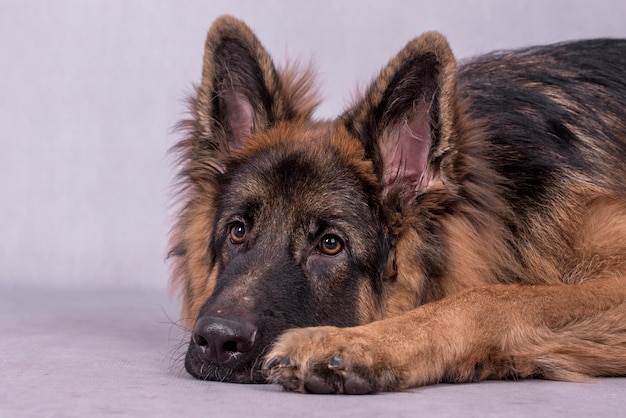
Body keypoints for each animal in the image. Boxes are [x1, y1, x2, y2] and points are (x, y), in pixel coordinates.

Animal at [169, 15, 624, 396]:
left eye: (330, 244)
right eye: (238, 231)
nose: (217, 340)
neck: (504, 201)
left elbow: (494, 298)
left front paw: (354, 345)